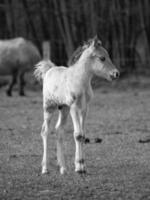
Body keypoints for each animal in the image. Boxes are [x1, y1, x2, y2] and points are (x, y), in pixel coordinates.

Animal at [34, 36, 119, 174]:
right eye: (102, 58)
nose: (116, 74)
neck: (80, 81)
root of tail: (49, 69)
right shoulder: (74, 107)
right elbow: (78, 134)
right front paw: (79, 167)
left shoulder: (84, 109)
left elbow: (82, 134)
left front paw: (81, 165)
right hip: (49, 106)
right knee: (45, 131)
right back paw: (45, 168)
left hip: (63, 108)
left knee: (59, 130)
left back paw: (63, 168)